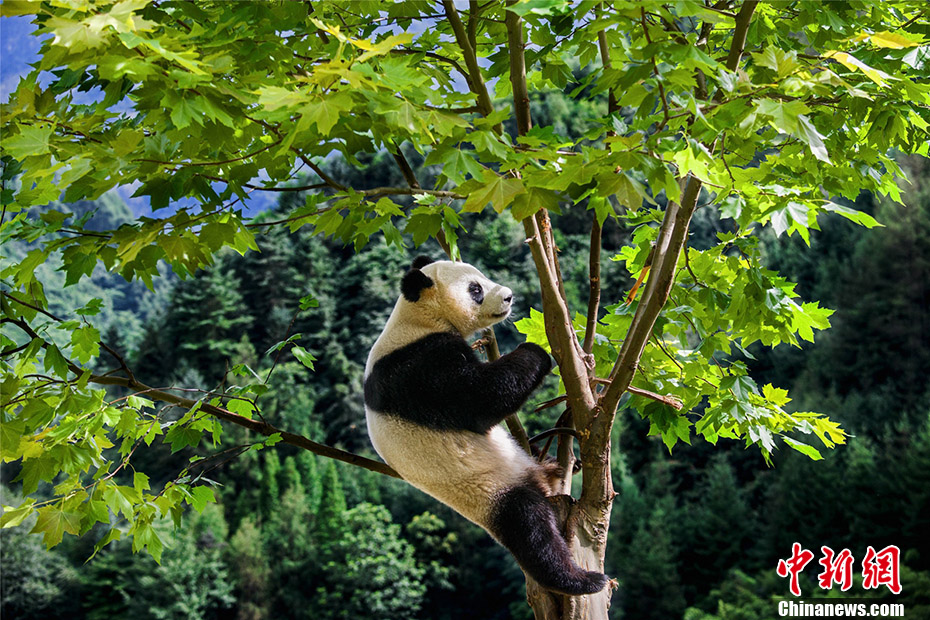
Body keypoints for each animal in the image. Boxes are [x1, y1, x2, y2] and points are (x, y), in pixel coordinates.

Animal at [362, 254, 608, 592]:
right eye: (475, 289)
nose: (508, 296)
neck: (418, 319)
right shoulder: (415, 368)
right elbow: (478, 398)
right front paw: (536, 350)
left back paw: (554, 464)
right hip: (491, 491)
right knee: (531, 529)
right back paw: (580, 579)